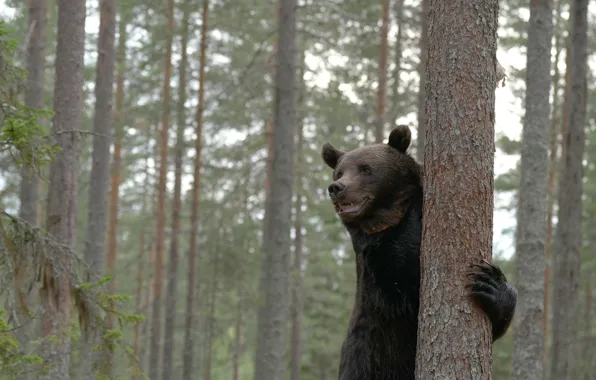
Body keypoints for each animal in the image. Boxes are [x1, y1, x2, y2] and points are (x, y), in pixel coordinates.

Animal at [322, 125, 516, 380]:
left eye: (365, 168)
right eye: (339, 172)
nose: (337, 188)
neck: (385, 221)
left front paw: (491, 284)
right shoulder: (384, 271)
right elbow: (409, 281)